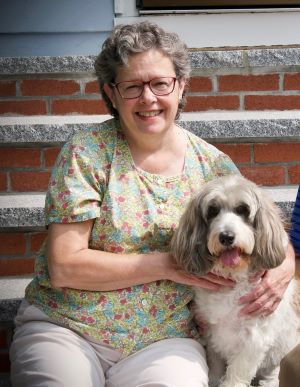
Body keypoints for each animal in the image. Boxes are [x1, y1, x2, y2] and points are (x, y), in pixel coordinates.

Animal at [171, 176, 300, 387]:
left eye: (243, 210)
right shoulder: (212, 334)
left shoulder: (253, 340)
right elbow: (215, 370)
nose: (226, 236)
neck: (233, 280)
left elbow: (236, 375)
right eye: (213, 211)